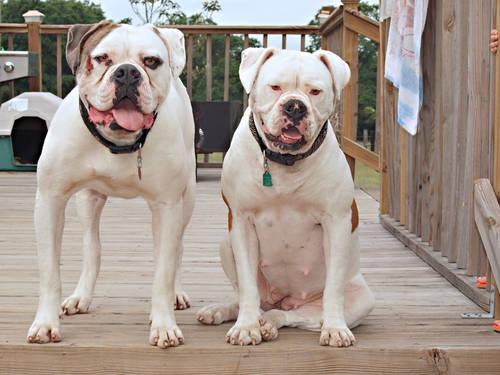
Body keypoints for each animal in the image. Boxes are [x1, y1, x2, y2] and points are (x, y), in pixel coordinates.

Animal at [26, 21, 195, 350]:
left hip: (186, 201)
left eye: (151, 62)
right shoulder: (50, 200)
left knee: (177, 249)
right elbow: (50, 272)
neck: (118, 143)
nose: (127, 72)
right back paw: (81, 296)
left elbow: (163, 271)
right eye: (102, 58)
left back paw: (177, 293)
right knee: (92, 246)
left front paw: (164, 325)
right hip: (87, 201)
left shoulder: (167, 205)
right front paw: (46, 323)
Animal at [197, 47, 374, 350]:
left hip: (360, 297)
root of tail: (284, 299)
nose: (295, 106)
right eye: (275, 87)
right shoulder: (241, 222)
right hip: (225, 244)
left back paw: (270, 323)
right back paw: (222, 311)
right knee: (249, 299)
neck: (284, 162)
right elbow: (247, 286)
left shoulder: (336, 222)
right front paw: (245, 327)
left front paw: (336, 329)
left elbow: (334, 288)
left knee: (292, 315)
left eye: (315, 91)